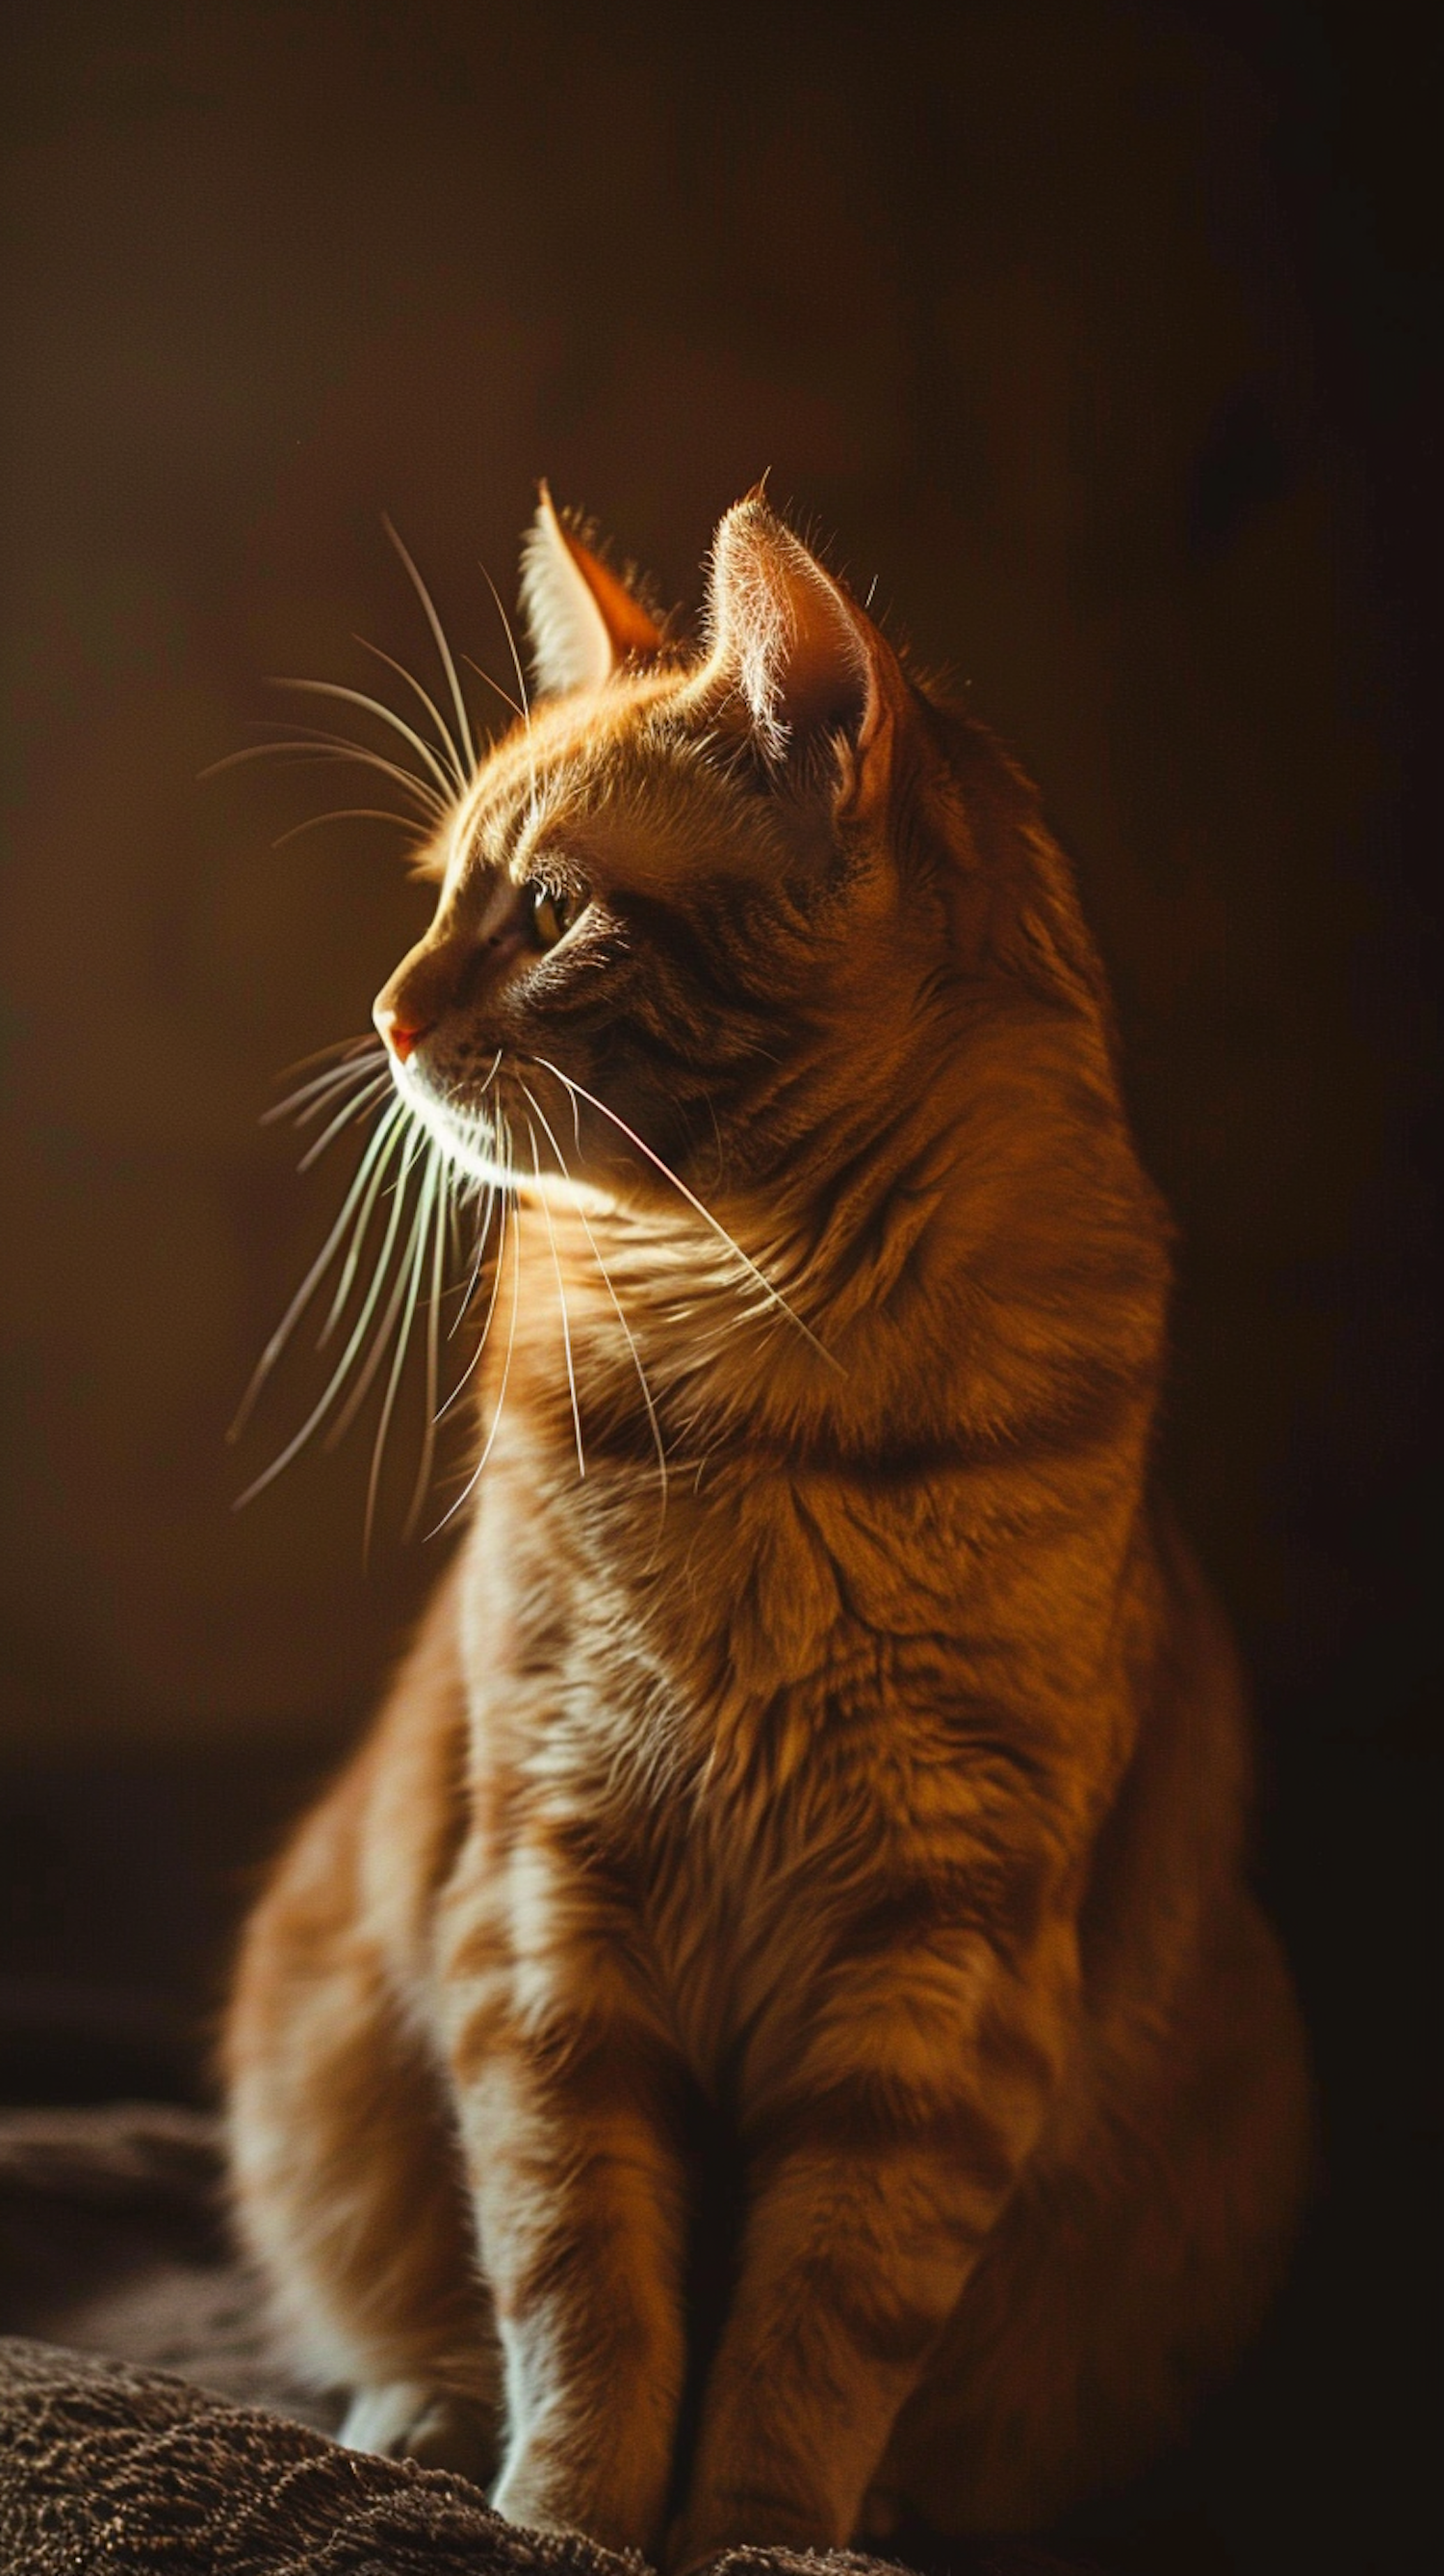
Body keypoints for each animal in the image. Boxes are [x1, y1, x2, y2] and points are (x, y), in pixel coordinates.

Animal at [222, 497, 1307, 2555]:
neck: (769, 1380)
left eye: (546, 914)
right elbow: (581, 2284)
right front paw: (561, 2521)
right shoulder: (552, 1906)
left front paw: (765, 2538)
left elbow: (818, 2331)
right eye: (444, 892)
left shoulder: (938, 1961)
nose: (384, 1014)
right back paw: (416, 2415)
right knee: (410, 2309)